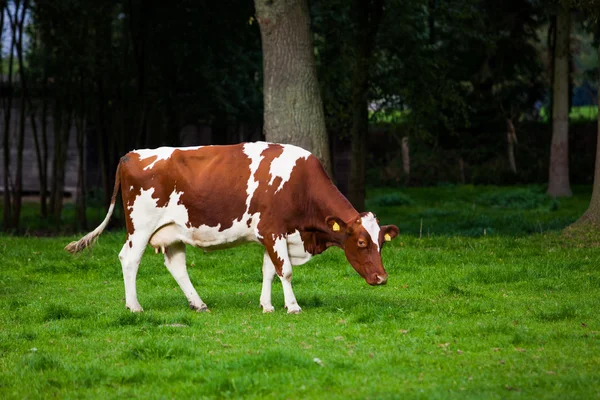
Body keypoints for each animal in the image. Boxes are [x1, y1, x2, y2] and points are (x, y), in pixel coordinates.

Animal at [64, 142, 398, 314]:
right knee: (129, 259)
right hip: (141, 227)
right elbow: (285, 271)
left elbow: (269, 270)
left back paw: (198, 304)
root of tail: (131, 154)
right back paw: (134, 306)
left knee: (176, 266)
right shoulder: (273, 229)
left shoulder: (271, 235)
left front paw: (266, 305)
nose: (382, 278)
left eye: (382, 243)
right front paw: (292, 307)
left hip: (172, 231)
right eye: (361, 243)